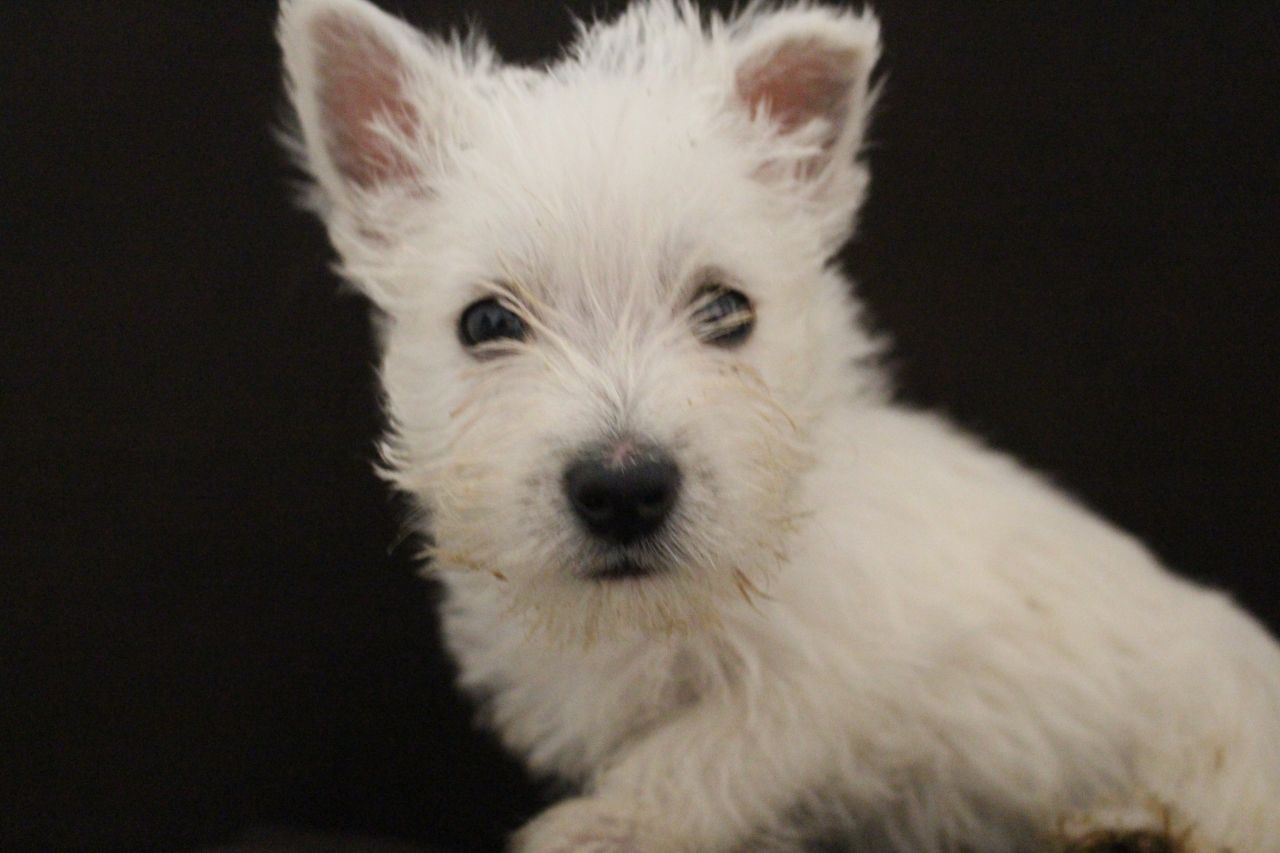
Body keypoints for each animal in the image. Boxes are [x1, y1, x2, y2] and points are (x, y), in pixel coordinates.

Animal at [277, 0, 1280, 845]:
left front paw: (600, 827)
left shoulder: (840, 666)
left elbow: (715, 745)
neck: (666, 618)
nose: (624, 488)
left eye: (727, 308)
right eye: (486, 322)